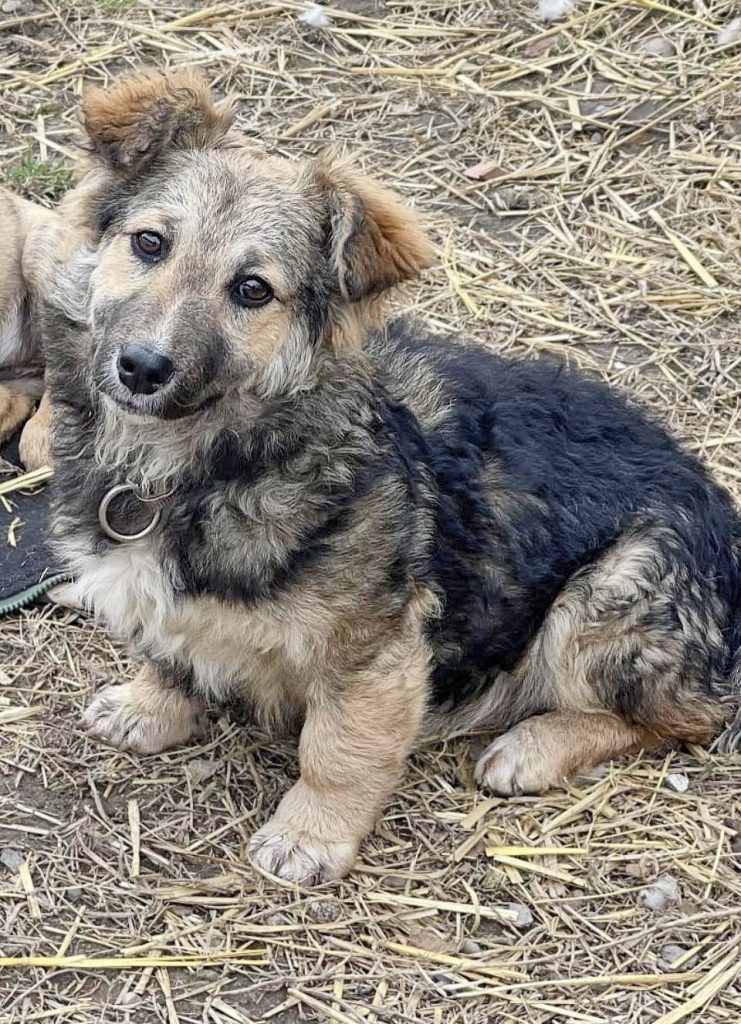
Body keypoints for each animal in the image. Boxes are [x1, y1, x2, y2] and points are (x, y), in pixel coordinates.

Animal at [36, 68, 741, 884]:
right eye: (149, 243)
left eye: (252, 290)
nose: (142, 368)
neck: (204, 461)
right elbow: (166, 651)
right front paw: (148, 706)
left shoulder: (375, 652)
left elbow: (338, 750)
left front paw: (309, 836)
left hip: (615, 590)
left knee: (681, 716)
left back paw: (531, 747)